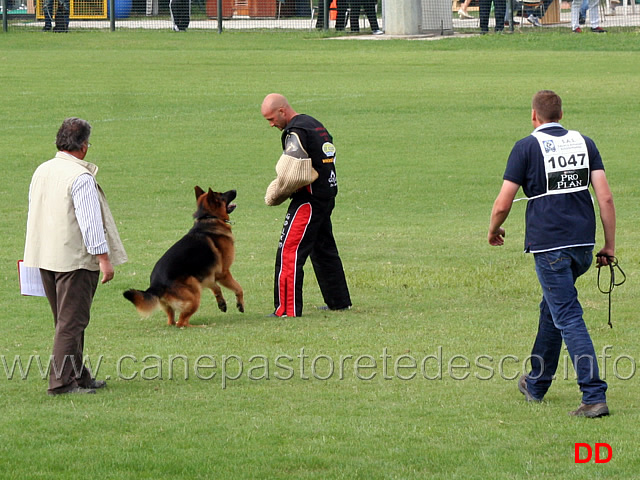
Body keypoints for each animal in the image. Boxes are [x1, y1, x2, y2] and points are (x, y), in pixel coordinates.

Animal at [123, 186, 245, 328]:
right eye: (221, 195)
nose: (235, 189)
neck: (208, 218)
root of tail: (155, 285)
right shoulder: (223, 273)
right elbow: (238, 288)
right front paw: (240, 304)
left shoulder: (207, 275)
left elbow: (216, 287)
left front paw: (221, 302)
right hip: (194, 292)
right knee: (181, 323)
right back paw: (200, 326)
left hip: (179, 298)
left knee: (172, 321)